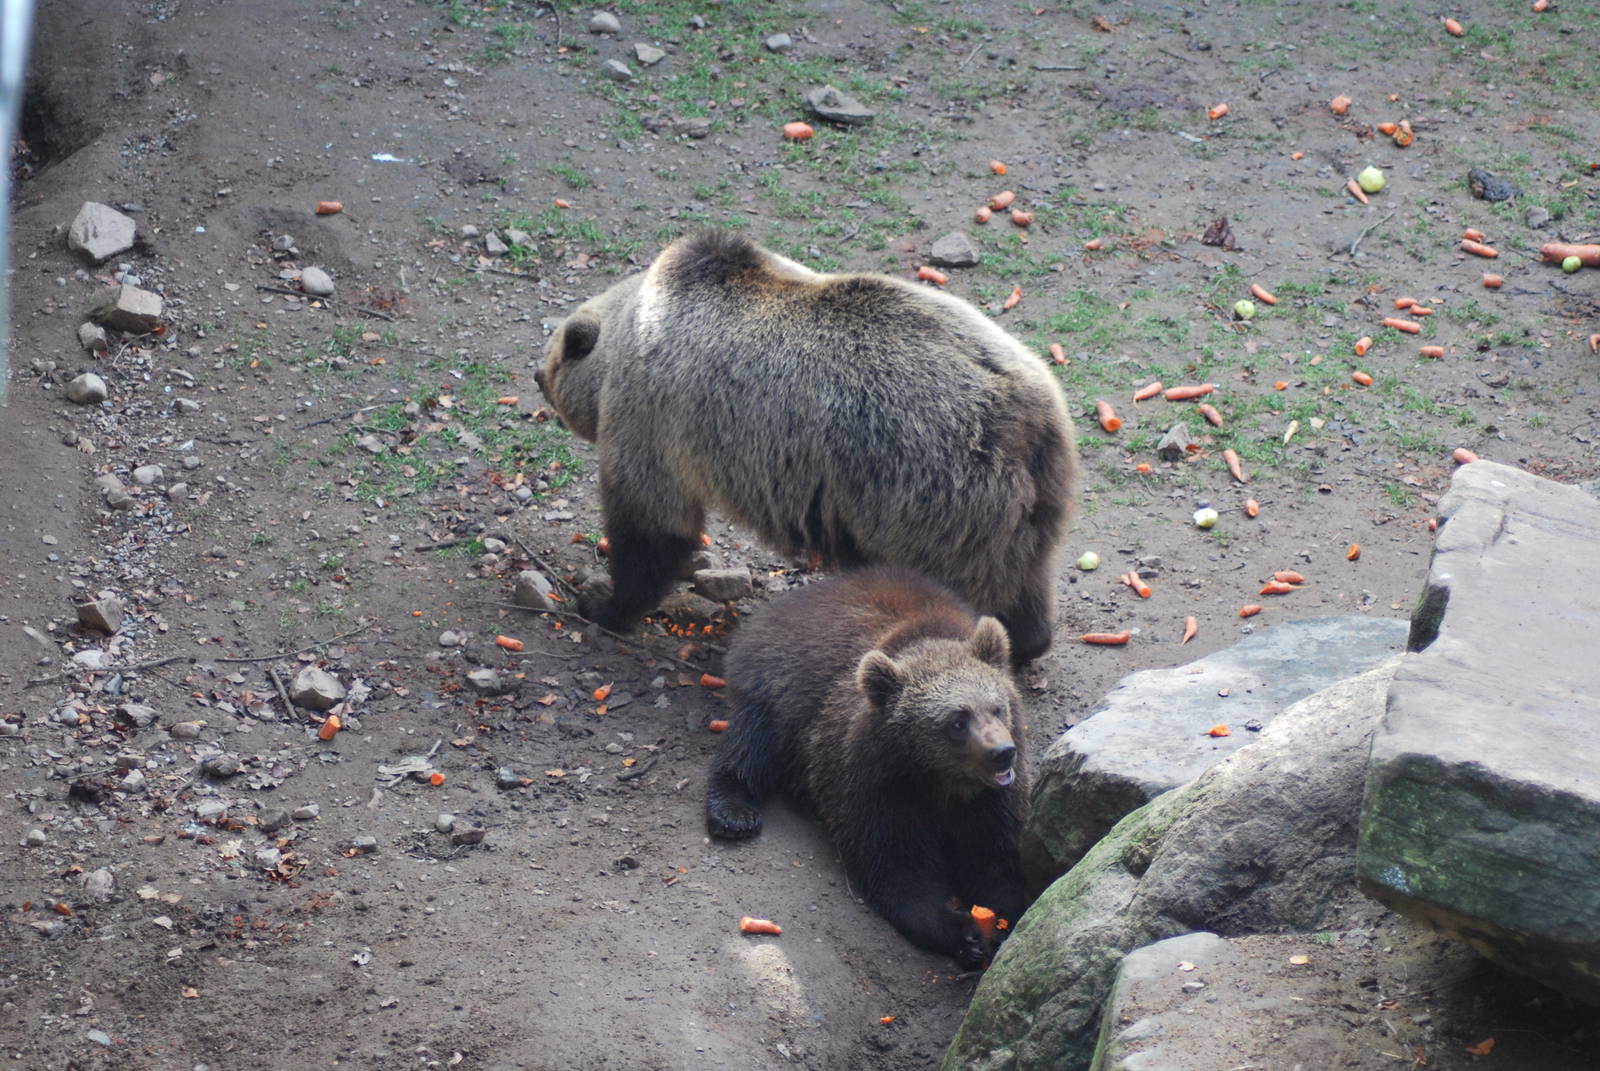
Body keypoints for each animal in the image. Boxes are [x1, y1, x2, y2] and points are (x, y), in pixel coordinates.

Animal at [533, 229, 1078, 663]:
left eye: (552, 357)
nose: (537, 376)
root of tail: (1024, 417)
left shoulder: (652, 417)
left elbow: (651, 525)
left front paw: (602, 600)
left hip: (922, 494)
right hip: (1035, 494)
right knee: (1027, 574)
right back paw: (1027, 638)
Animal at [704, 566, 1030, 968]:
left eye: (998, 707)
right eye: (958, 720)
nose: (1002, 752)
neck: (942, 782)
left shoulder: (990, 802)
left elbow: (994, 861)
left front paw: (1002, 926)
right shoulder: (876, 783)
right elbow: (896, 867)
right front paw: (960, 932)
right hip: (775, 688)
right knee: (750, 743)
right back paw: (733, 811)